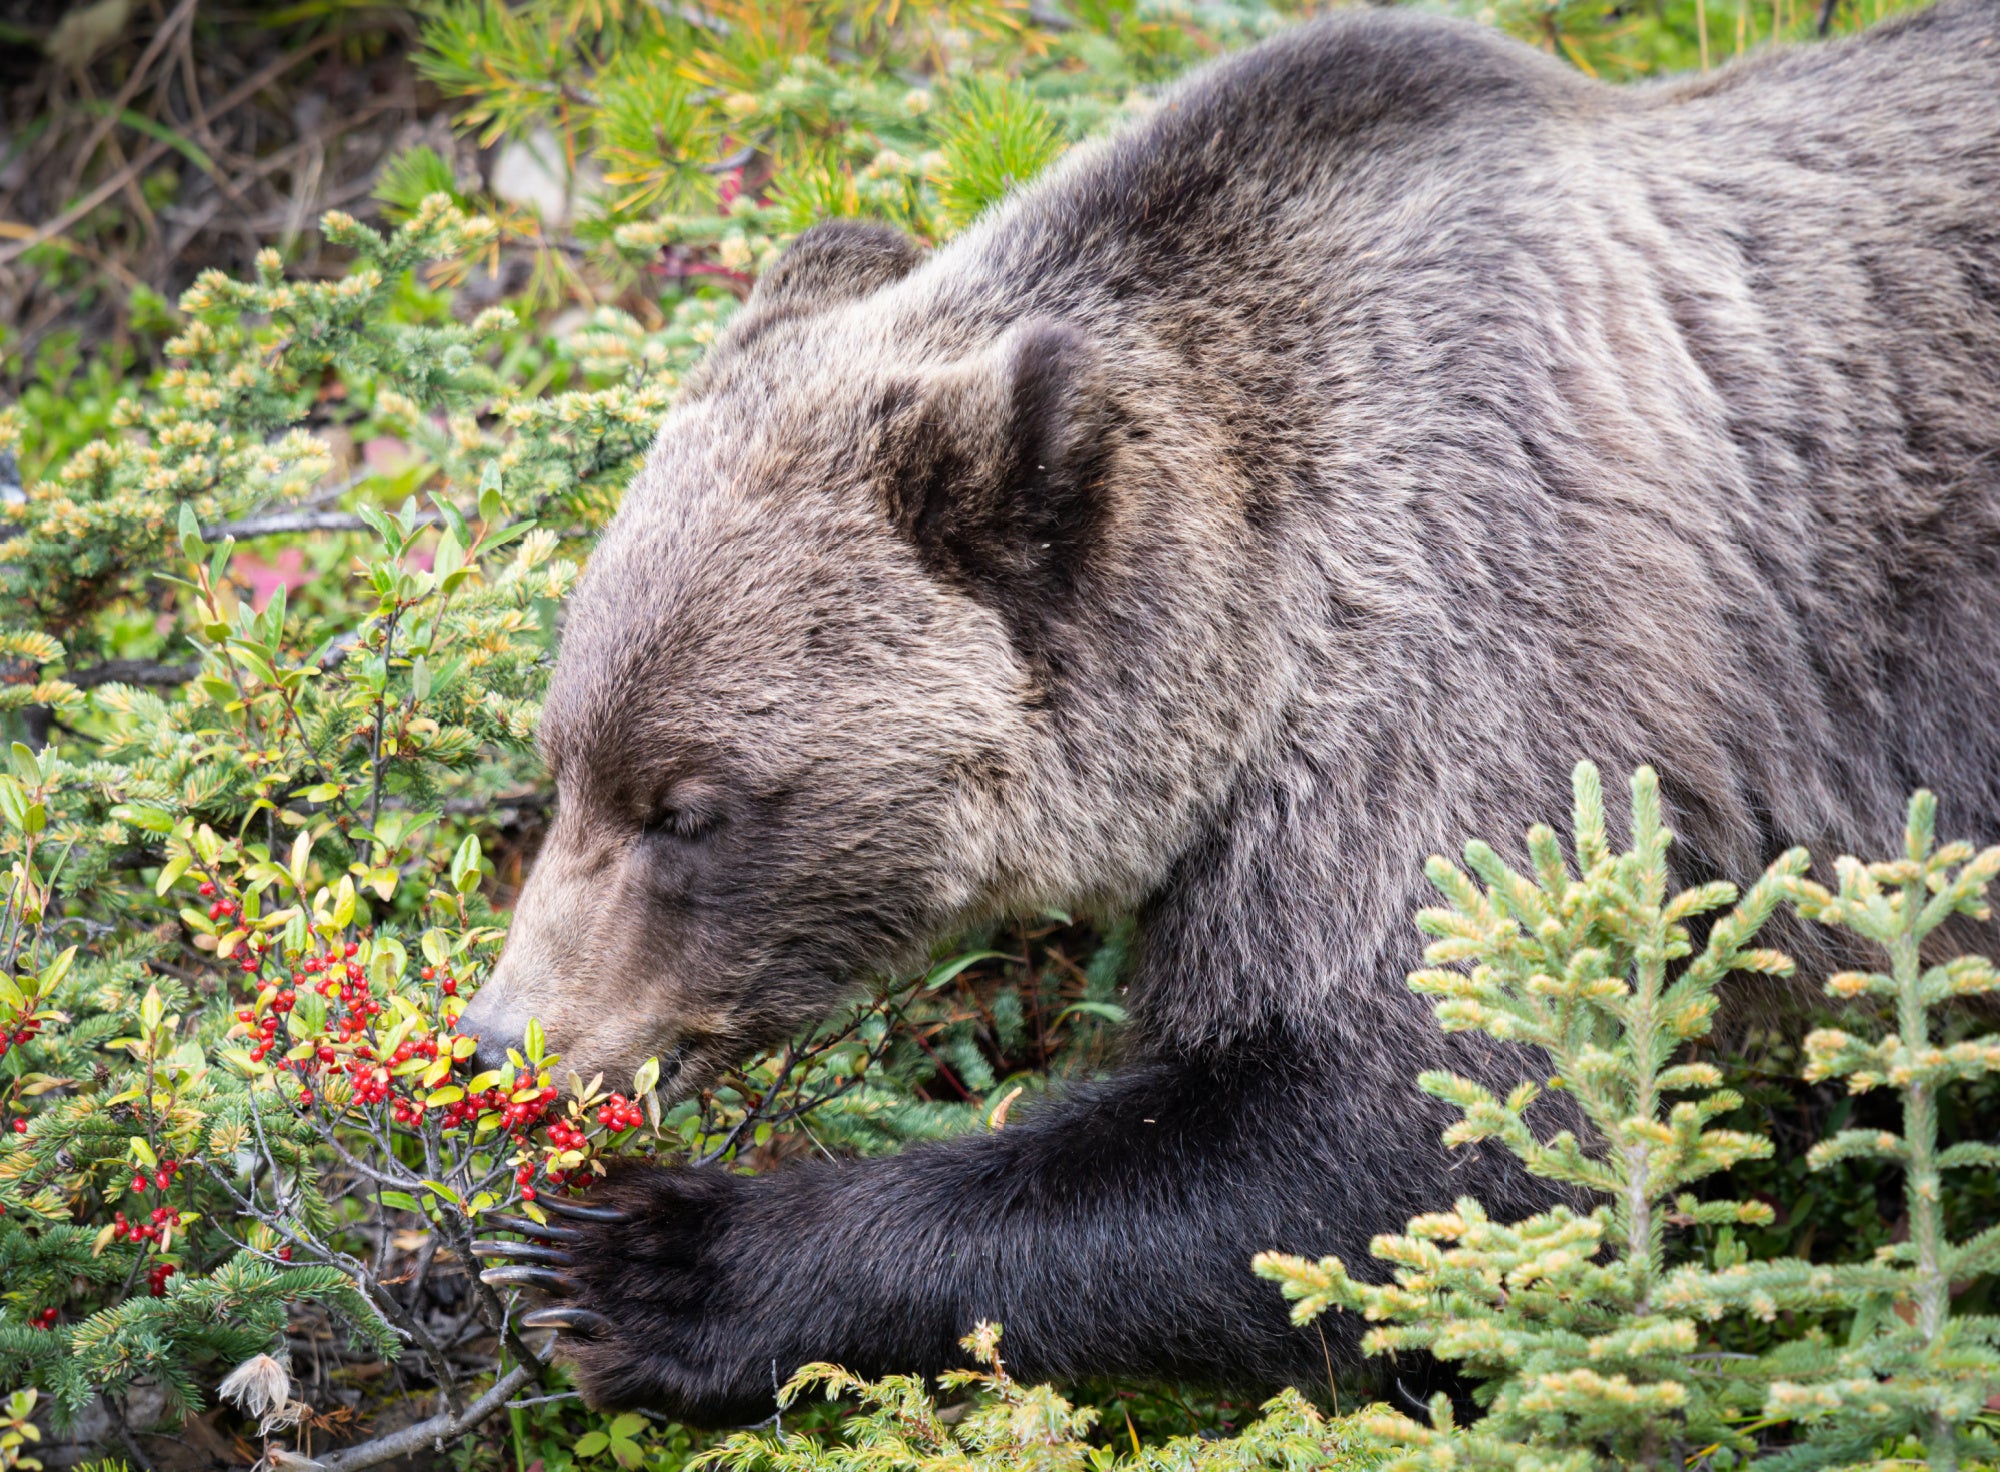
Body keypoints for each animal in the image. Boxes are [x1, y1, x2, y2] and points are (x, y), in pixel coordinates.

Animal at [457, 0, 2000, 1426]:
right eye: (564, 764)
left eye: (687, 807)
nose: (502, 1035)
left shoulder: (1482, 667)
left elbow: (1408, 1139)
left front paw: (643, 1263)